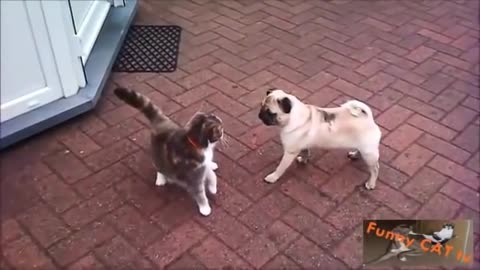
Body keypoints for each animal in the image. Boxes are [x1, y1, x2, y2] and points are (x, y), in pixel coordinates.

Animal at [113, 87, 224, 216]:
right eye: (220, 130)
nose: (223, 132)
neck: (196, 143)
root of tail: (161, 123)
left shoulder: (201, 167)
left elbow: (212, 175)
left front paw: (212, 187)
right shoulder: (194, 176)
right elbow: (200, 193)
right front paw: (205, 208)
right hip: (157, 154)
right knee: (159, 167)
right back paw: (161, 179)